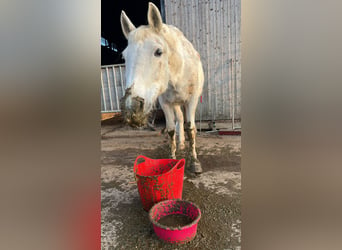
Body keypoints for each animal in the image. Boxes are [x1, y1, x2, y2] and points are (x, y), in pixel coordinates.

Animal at [121, 2, 203, 174]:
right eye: (124, 56)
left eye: (158, 52)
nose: (132, 106)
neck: (178, 73)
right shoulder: (165, 103)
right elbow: (171, 129)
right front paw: (172, 158)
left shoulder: (192, 100)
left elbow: (191, 128)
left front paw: (194, 162)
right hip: (175, 104)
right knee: (179, 119)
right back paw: (181, 144)